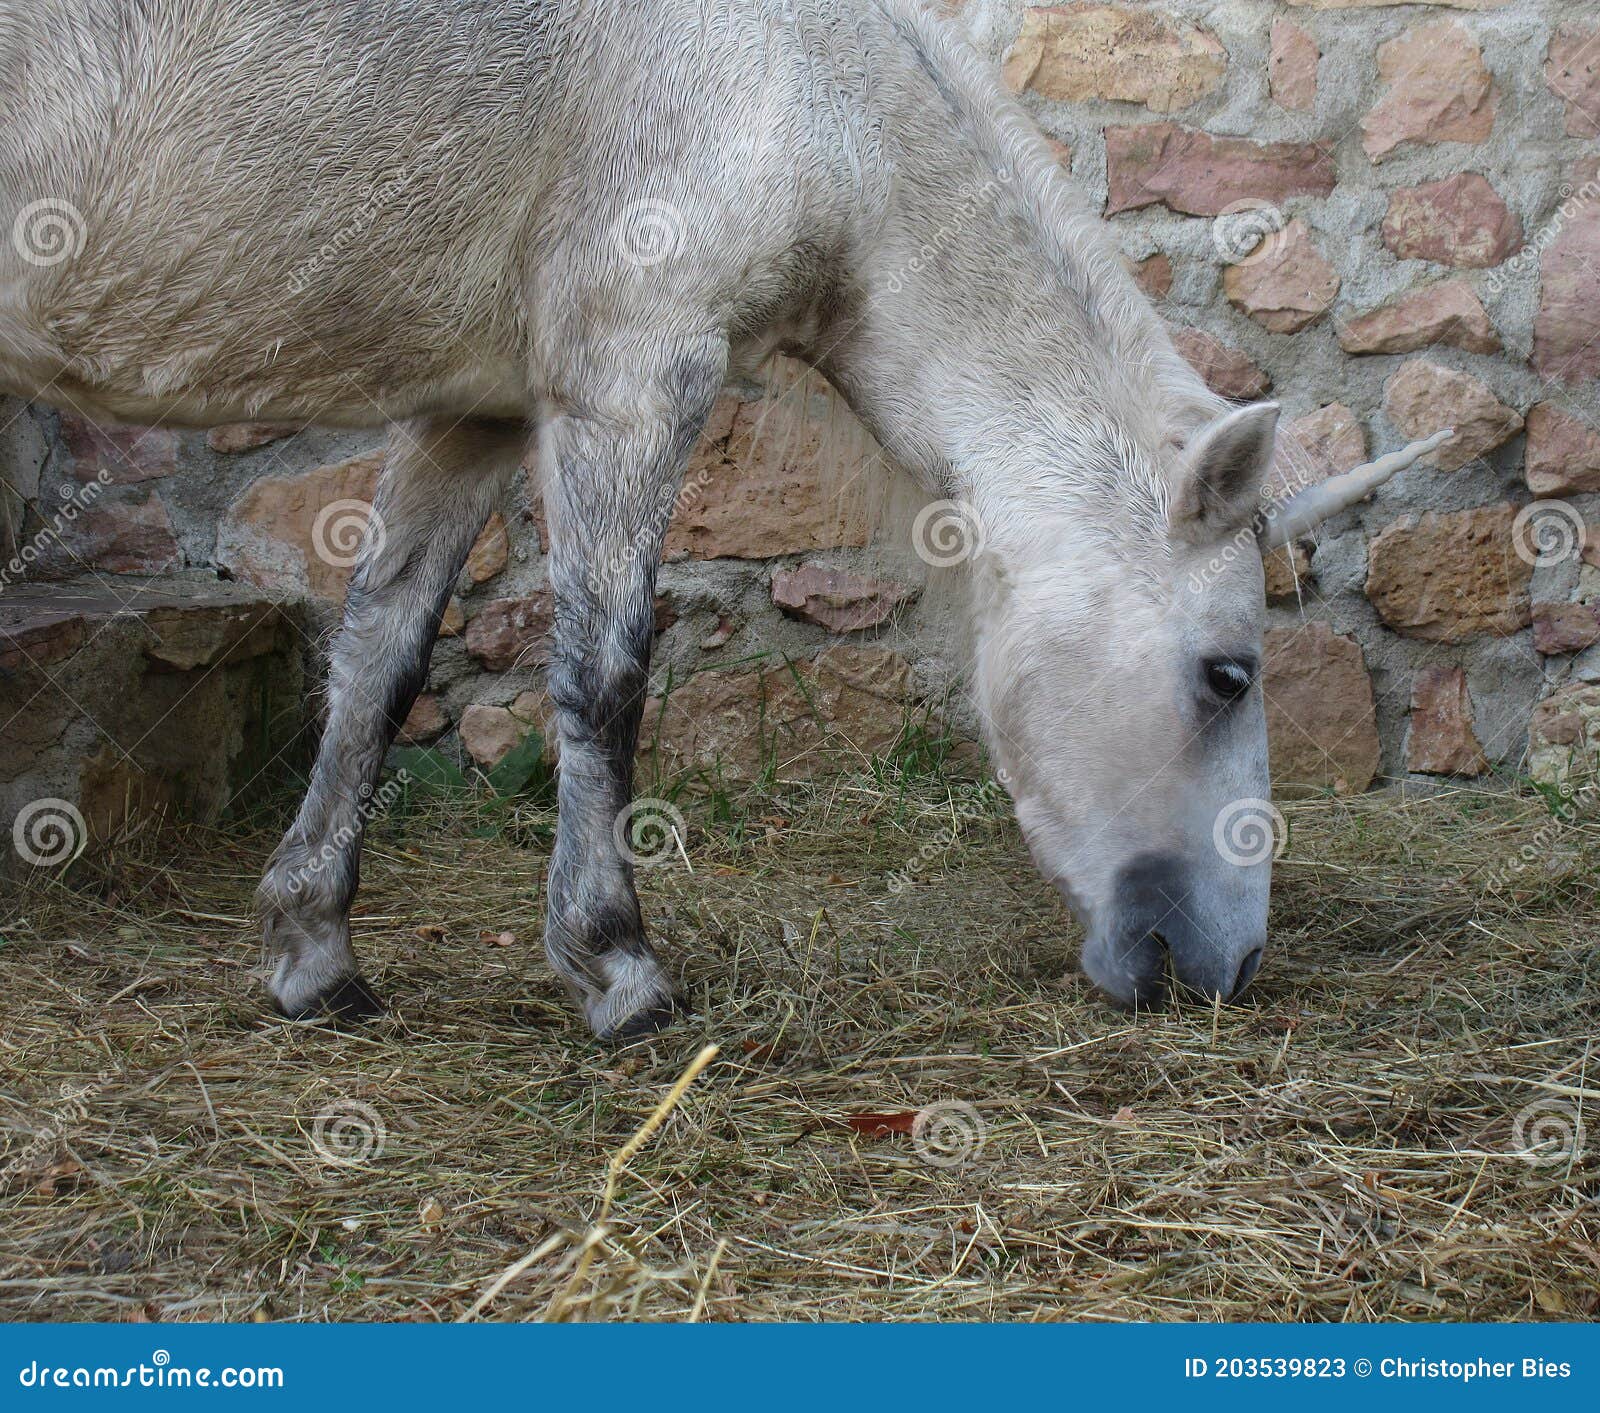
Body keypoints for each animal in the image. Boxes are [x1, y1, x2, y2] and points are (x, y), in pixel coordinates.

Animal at [0, 0, 1440, 1036]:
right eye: (1227, 674)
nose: (1229, 962)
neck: (801, 81)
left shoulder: (476, 413)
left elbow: (378, 661)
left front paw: (313, 951)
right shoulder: (631, 381)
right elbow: (602, 678)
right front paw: (617, 969)